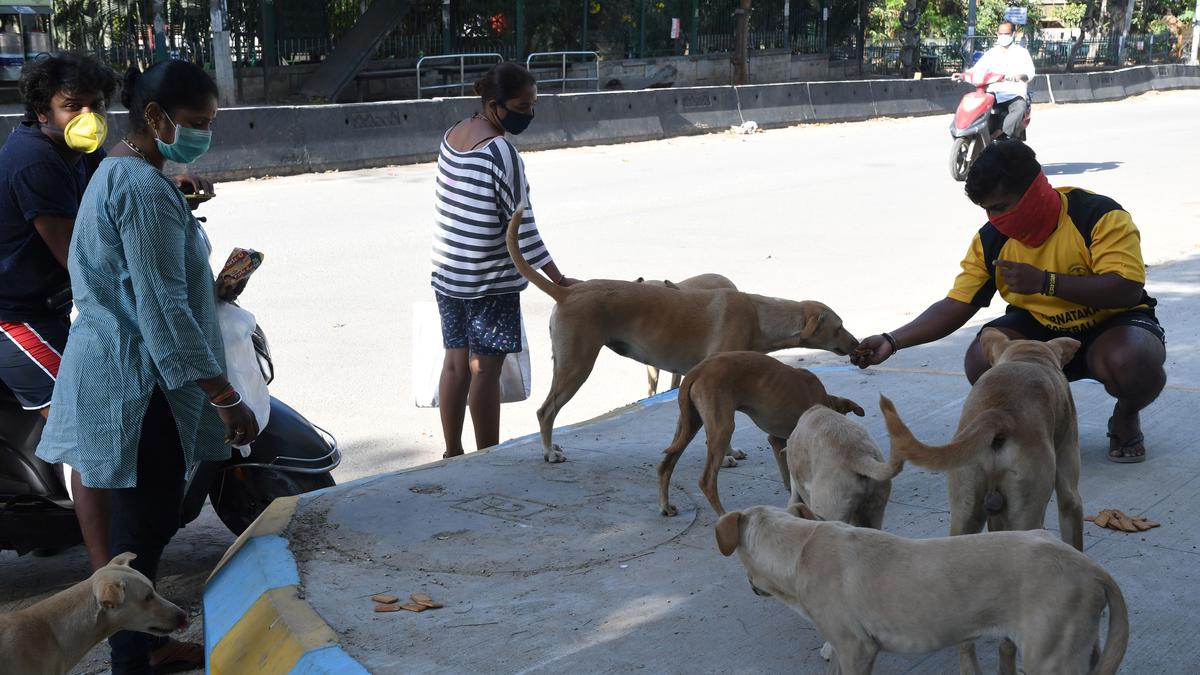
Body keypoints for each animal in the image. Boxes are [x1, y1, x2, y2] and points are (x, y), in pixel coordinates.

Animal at [506, 210, 864, 461]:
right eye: (839, 326)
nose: (857, 344)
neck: (759, 314)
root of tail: (567, 292)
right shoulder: (720, 382)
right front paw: (728, 455)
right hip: (576, 364)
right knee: (545, 411)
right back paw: (548, 451)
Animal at [657, 348, 864, 511]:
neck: (824, 401)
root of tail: (697, 370)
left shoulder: (777, 440)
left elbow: (787, 475)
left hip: (689, 424)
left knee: (666, 465)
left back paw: (666, 506)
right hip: (722, 428)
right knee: (707, 481)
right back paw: (722, 515)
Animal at [715, 504, 1128, 672]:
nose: (752, 588)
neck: (799, 547)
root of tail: (1091, 567)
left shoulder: (856, 648)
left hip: (1050, 659)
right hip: (1079, 648)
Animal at [883, 329, 1089, 672]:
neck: (1029, 356)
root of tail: (999, 414)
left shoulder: (994, 515)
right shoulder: (1069, 492)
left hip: (964, 513)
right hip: (1028, 515)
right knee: (1008, 644)